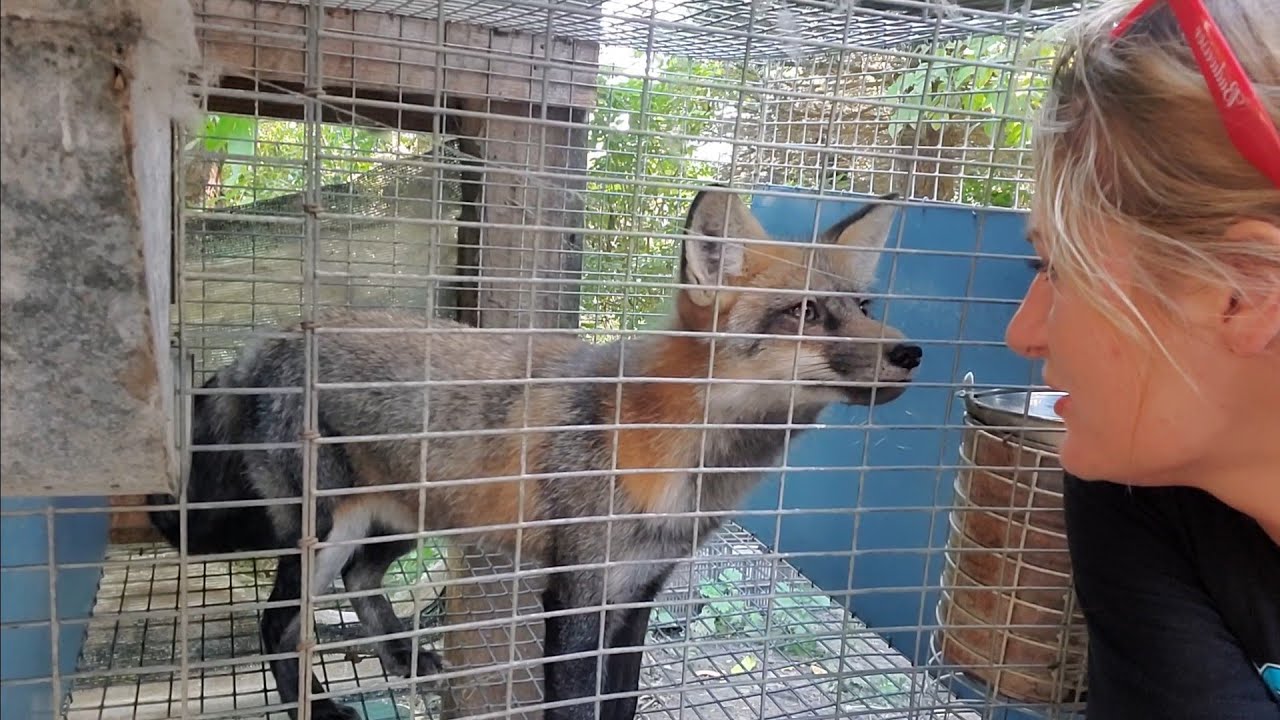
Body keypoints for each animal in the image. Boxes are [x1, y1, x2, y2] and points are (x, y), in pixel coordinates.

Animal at [145, 186, 922, 720]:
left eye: (863, 307)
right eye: (804, 313)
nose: (911, 353)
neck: (676, 457)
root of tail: (275, 336)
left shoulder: (637, 596)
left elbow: (620, 706)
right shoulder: (574, 595)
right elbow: (575, 708)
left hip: (401, 519)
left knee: (361, 584)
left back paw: (405, 657)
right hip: (327, 529)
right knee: (279, 623)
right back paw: (319, 700)